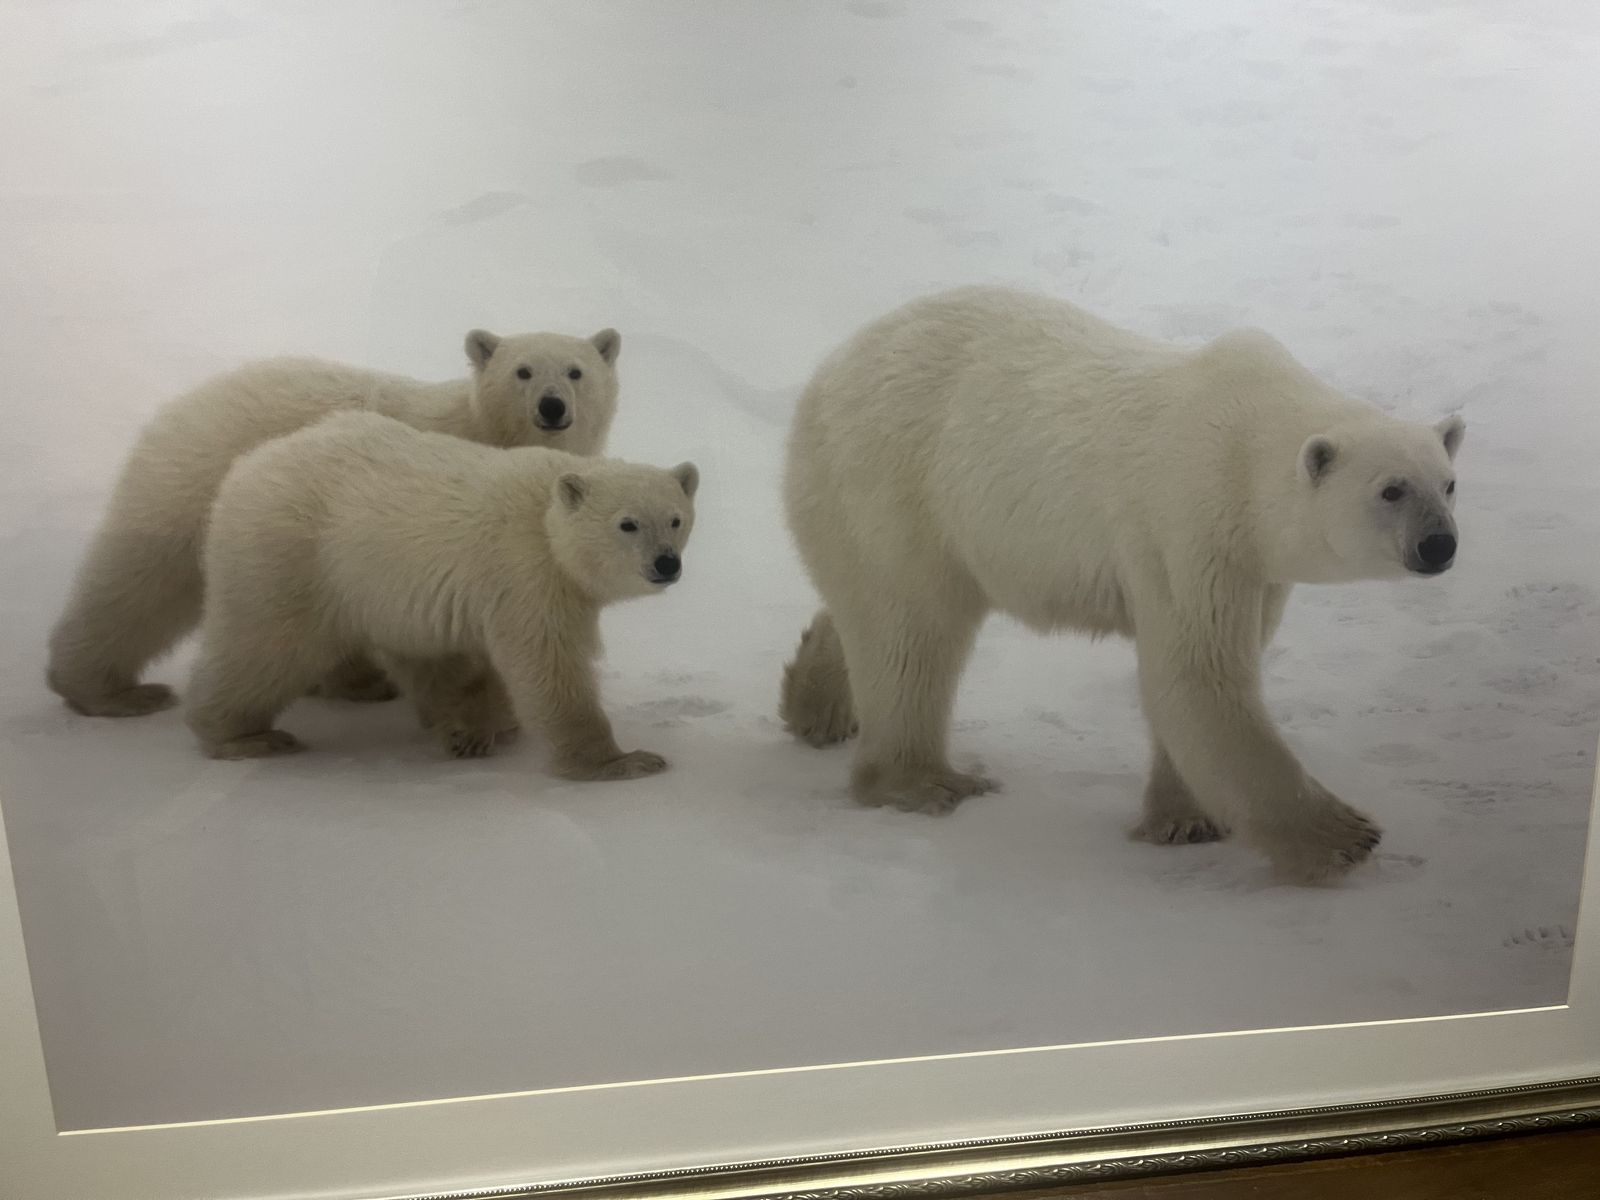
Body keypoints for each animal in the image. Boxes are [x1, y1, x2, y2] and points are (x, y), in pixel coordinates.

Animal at [46, 325, 623, 718]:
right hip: (197, 484)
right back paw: (108, 690)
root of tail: (181, 405)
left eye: (576, 371)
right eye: (523, 370)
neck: (482, 430)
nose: (552, 407)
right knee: (144, 578)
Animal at [183, 410, 698, 779]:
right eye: (628, 523)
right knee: (265, 647)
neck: (545, 514)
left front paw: (485, 728)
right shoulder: (528, 572)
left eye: (676, 518)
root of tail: (246, 466)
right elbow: (549, 663)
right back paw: (241, 736)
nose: (666, 564)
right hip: (292, 557)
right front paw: (623, 761)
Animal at [780, 285, 1464, 883]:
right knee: (912, 631)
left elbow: (1210, 669)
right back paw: (926, 780)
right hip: (893, 480)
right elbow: (1200, 675)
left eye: (1449, 482)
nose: (1440, 545)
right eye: (1391, 489)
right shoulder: (1189, 521)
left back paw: (817, 706)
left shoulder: (1256, 567)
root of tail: (827, 372)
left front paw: (1184, 819)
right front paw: (1345, 837)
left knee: (871, 606)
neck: (1247, 443)